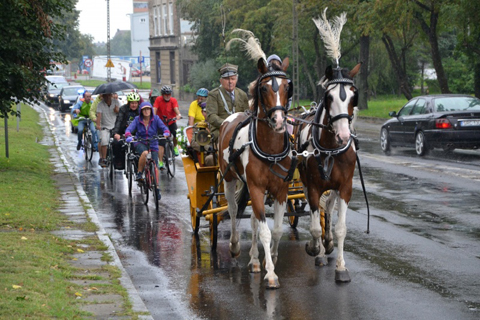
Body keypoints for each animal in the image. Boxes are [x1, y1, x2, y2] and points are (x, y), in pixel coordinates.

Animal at [218, 57, 292, 290]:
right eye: (264, 88)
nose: (279, 120)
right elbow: (265, 231)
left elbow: (275, 229)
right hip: (230, 178)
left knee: (251, 220)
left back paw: (254, 260)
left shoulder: (280, 190)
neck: (270, 149)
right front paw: (271, 274)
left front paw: (270, 260)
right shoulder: (257, 188)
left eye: (287, 87)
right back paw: (234, 246)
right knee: (233, 210)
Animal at [296, 63, 360, 282]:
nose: (343, 136)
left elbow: (340, 229)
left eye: (354, 96)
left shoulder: (345, 187)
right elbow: (315, 227)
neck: (331, 148)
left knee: (330, 206)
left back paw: (328, 242)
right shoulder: (313, 185)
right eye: (329, 97)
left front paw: (341, 267)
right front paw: (315, 248)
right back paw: (320, 251)